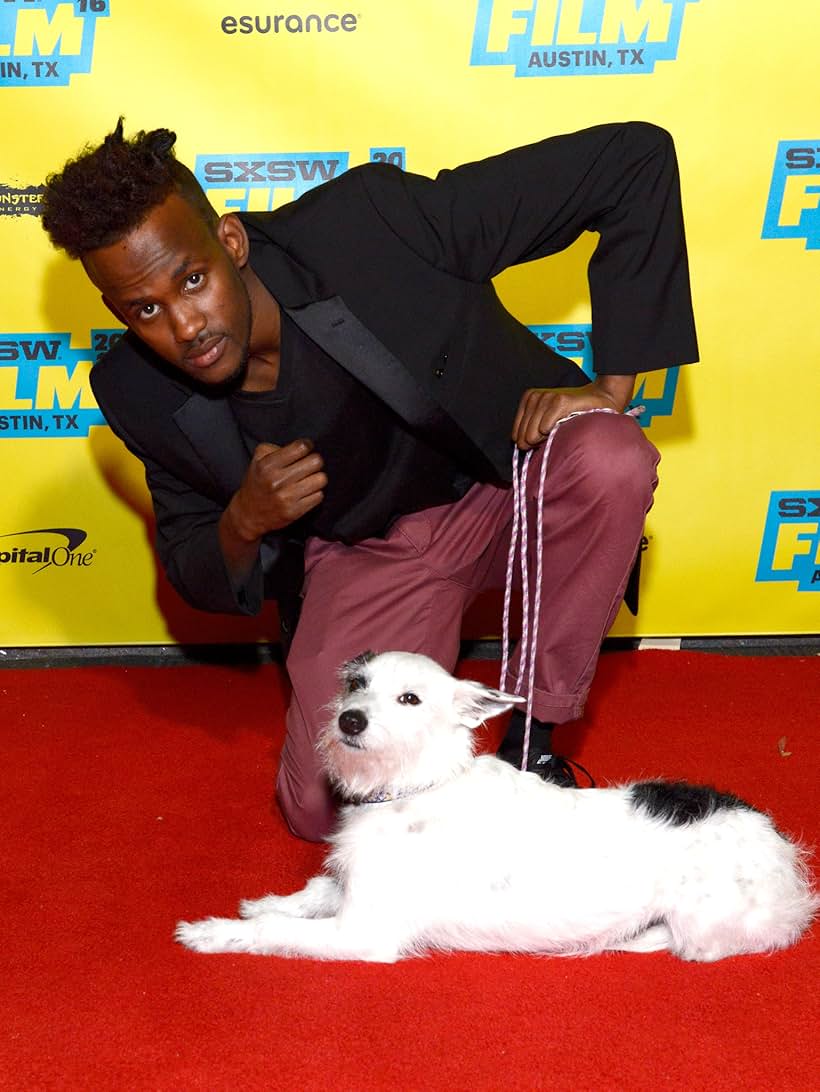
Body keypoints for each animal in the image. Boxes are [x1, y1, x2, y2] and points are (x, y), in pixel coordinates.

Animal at [176, 650, 816, 960]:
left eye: (410, 699)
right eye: (357, 683)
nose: (349, 719)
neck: (415, 787)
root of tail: (787, 864)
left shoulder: (364, 933)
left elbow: (280, 934)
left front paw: (215, 933)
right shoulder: (352, 888)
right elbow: (310, 893)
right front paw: (266, 903)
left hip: (699, 926)